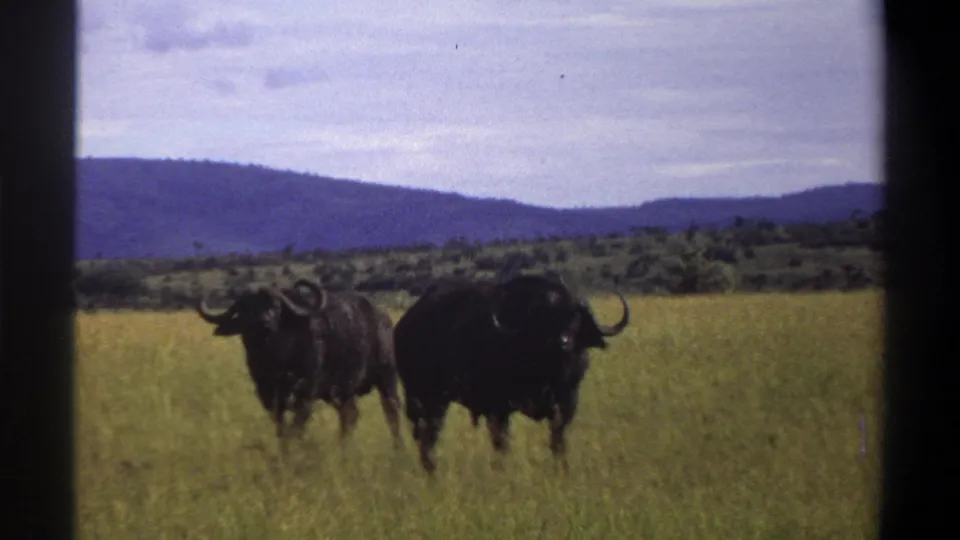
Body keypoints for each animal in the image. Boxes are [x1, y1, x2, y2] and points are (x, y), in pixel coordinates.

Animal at [393, 274, 630, 473]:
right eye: (544, 318)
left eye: (574, 317)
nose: (562, 343)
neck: (550, 370)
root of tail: (404, 327)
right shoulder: (498, 408)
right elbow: (502, 443)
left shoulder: (568, 401)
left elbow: (558, 438)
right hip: (430, 401)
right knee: (427, 439)